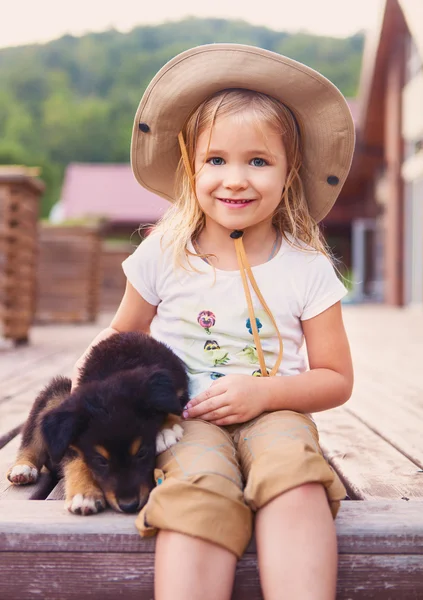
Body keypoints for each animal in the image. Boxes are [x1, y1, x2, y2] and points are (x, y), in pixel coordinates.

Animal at [6, 332, 189, 516]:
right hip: (55, 393)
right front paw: (84, 494)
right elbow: (78, 461)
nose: (129, 505)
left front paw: (166, 429)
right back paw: (23, 468)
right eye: (100, 460)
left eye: (142, 453)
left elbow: (173, 403)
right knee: (30, 439)